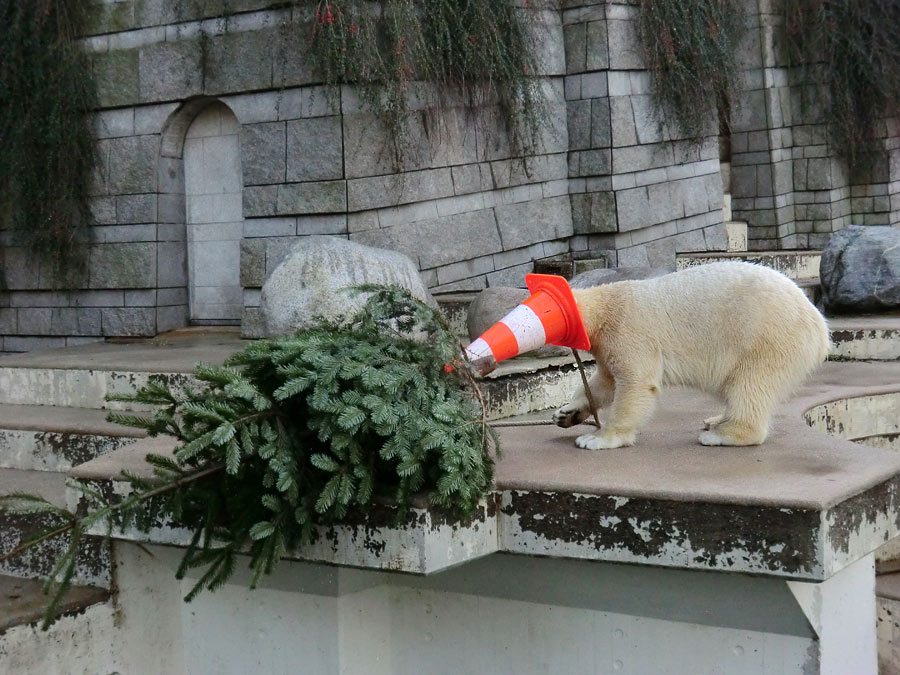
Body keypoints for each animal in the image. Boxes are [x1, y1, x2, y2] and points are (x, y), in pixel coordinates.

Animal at [552, 262, 832, 448]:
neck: (607, 303)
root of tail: (819, 326)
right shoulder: (608, 345)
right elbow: (605, 382)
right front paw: (566, 413)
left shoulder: (629, 331)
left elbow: (634, 383)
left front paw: (596, 438)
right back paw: (715, 420)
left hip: (766, 338)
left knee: (751, 384)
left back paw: (720, 433)